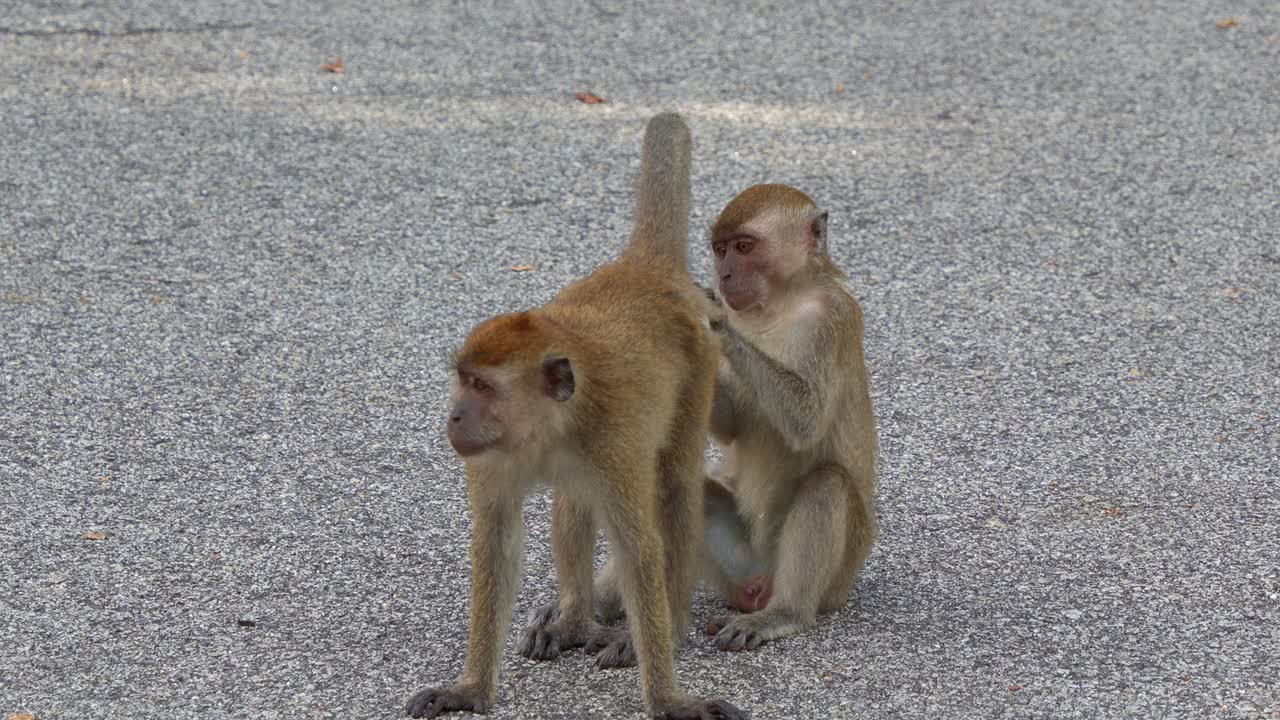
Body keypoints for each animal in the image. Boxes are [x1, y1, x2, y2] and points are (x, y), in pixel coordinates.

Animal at [403, 113, 747, 720]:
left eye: (483, 386)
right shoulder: (492, 459)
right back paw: (574, 620)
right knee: (573, 499)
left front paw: (668, 698)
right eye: (463, 379)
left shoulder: (612, 443)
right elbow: (495, 541)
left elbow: (639, 547)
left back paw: (671, 623)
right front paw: (469, 688)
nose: (454, 418)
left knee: (675, 485)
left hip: (700, 367)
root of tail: (643, 268)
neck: (548, 429)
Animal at [697, 183, 877, 653]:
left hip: (835, 579)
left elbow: (806, 421)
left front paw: (714, 320)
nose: (724, 277)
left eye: (744, 247)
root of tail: (760, 582)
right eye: (720, 249)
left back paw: (784, 614)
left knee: (827, 485)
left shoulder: (831, 321)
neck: (779, 304)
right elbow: (732, 424)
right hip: (738, 565)